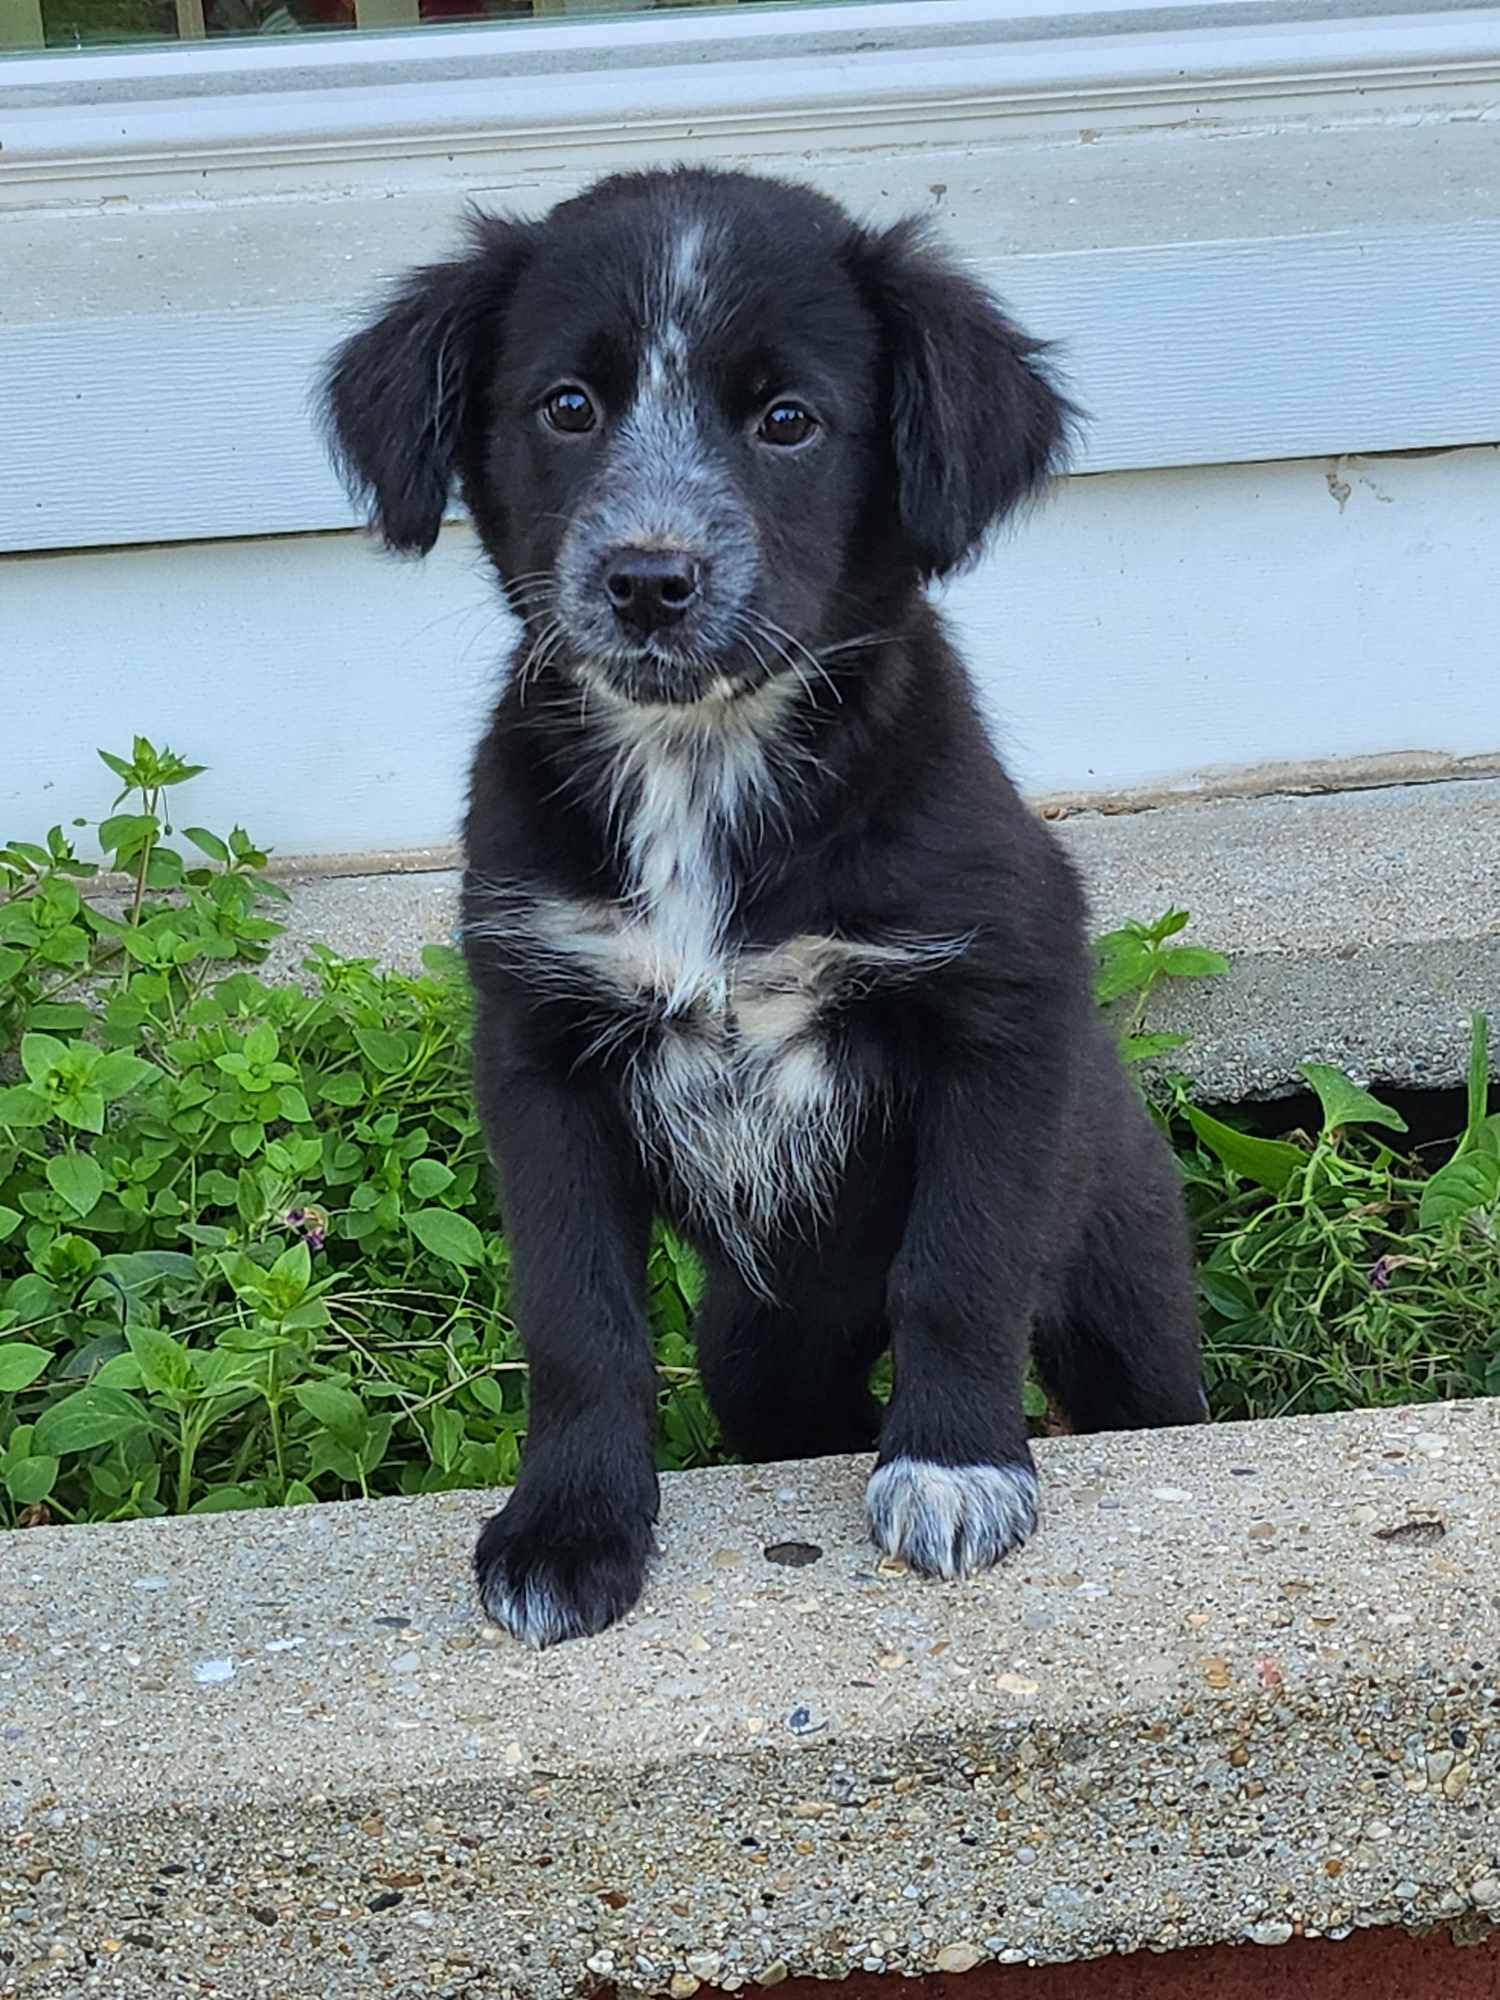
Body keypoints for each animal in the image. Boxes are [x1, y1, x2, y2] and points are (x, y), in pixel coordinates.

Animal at [324, 168, 1208, 1640]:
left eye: (788, 420)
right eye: (568, 407)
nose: (647, 581)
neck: (701, 764)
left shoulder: (1002, 1008)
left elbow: (959, 1264)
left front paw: (956, 1466)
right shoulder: (539, 1047)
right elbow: (576, 1317)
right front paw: (569, 1526)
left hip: (1125, 1288)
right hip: (757, 1341)